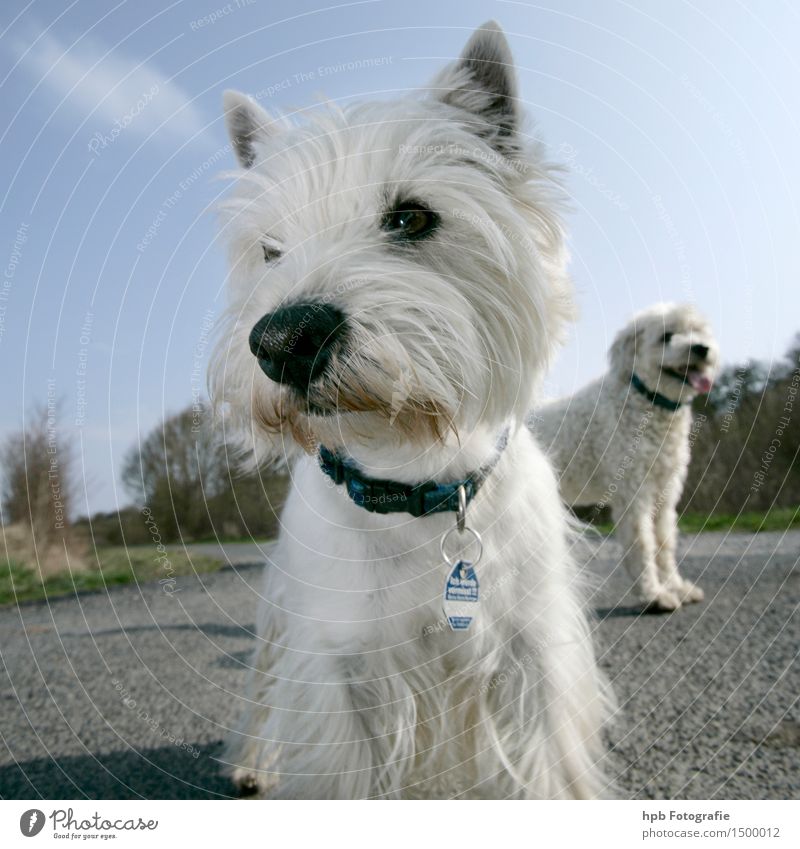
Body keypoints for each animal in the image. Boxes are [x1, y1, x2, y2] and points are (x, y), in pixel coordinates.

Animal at [209, 23, 608, 800]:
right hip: (280, 614)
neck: (416, 478)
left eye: (412, 217)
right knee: (263, 685)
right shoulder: (343, 669)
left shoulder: (530, 660)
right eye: (271, 250)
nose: (282, 341)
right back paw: (253, 760)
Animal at [532, 304, 720, 608]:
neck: (645, 400)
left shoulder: (664, 492)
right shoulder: (634, 493)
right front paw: (655, 595)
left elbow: (664, 543)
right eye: (666, 336)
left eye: (697, 330)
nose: (702, 348)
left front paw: (677, 587)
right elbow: (642, 545)